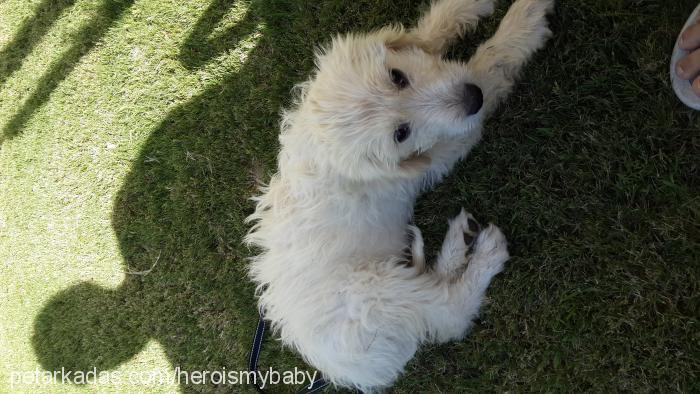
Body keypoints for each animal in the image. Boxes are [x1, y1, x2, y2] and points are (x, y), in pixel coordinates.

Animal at [246, 0, 552, 390]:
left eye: (397, 77)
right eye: (400, 134)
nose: (471, 98)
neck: (324, 152)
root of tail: (338, 370)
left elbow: (426, 33)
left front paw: (466, 7)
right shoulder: (441, 147)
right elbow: (487, 67)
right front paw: (522, 24)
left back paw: (459, 241)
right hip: (379, 292)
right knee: (450, 312)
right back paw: (486, 254)